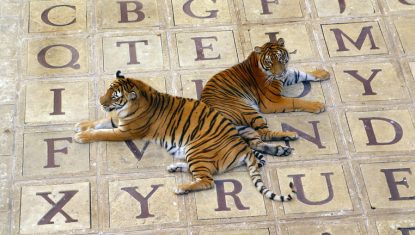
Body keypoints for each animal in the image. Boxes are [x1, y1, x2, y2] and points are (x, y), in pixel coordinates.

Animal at [74, 72, 296, 201]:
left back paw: (181, 188)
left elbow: (102, 133)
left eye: (114, 96)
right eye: (108, 90)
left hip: (197, 149)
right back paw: (174, 167)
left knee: (208, 180)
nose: (101, 101)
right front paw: (82, 125)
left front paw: (82, 137)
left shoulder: (125, 131)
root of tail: (242, 147)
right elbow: (100, 122)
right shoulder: (118, 121)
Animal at [202, 38, 332, 154]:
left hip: (243, 127)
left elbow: (300, 73)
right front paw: (318, 105)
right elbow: (295, 101)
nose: (279, 74)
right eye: (270, 62)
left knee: (255, 142)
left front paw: (323, 73)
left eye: (280, 59)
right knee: (264, 134)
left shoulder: (286, 76)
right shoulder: (273, 101)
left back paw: (282, 148)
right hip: (249, 111)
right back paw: (290, 135)